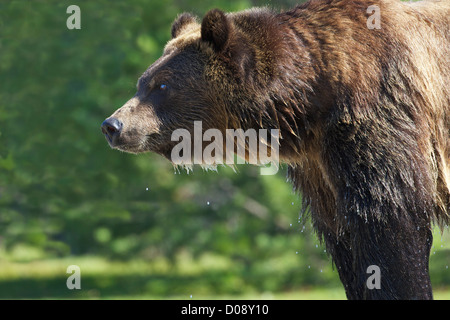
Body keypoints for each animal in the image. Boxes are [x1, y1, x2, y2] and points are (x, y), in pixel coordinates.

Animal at [102, 0, 450, 300]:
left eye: (162, 85)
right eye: (141, 83)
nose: (112, 125)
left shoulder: (378, 114)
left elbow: (390, 222)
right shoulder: (319, 165)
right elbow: (343, 235)